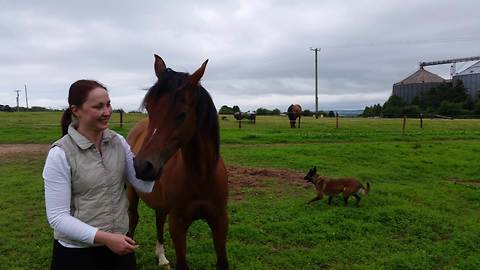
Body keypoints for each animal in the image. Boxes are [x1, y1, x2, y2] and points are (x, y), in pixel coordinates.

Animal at [127, 54, 229, 270]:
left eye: (182, 114)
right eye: (149, 108)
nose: (142, 166)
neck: (201, 176)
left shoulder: (220, 220)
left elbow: (222, 262)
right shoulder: (178, 224)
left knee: (158, 220)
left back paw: (161, 257)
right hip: (132, 193)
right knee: (132, 219)